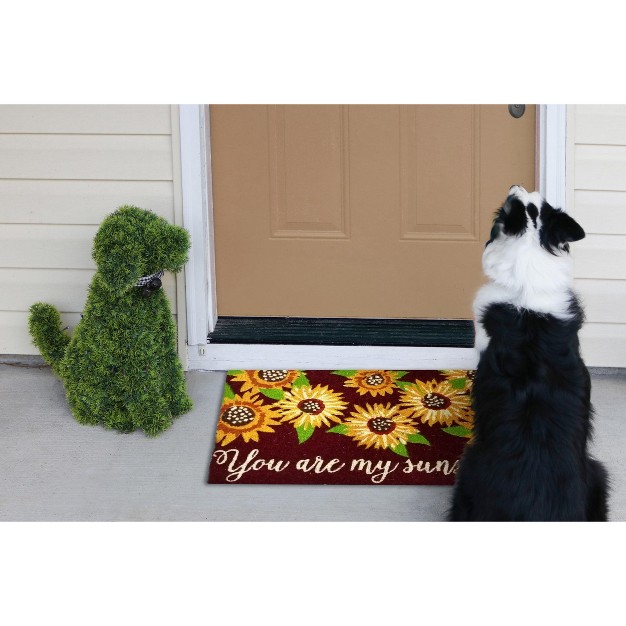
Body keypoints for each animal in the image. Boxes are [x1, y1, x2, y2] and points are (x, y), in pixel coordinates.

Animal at [28, 205, 193, 434]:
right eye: (149, 232)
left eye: (156, 221)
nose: (184, 238)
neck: (138, 289)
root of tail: (64, 365)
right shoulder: (136, 354)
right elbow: (145, 391)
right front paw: (156, 421)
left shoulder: (164, 341)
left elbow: (170, 373)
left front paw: (178, 404)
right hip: (93, 383)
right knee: (90, 409)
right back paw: (120, 419)